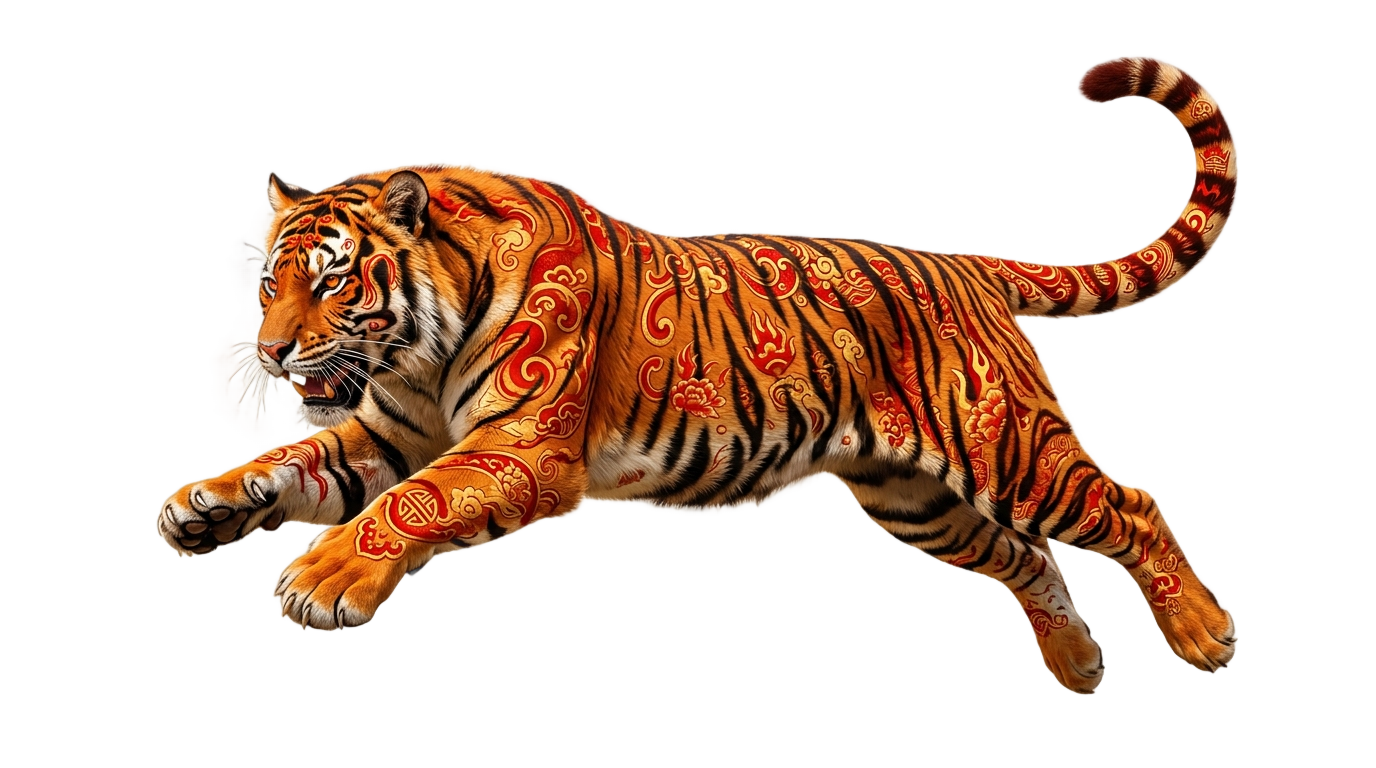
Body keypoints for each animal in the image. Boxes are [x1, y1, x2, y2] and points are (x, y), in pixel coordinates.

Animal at [157, 57, 1235, 691]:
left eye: (333, 282)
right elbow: (301, 459)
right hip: (911, 496)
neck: (419, 347)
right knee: (1023, 558)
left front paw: (325, 575)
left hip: (1006, 447)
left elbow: (409, 506)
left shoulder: (519, 445)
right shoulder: (393, 429)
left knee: (1129, 509)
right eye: (270, 283)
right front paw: (206, 506)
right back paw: (1073, 663)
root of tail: (967, 263)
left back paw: (1201, 634)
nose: (269, 351)